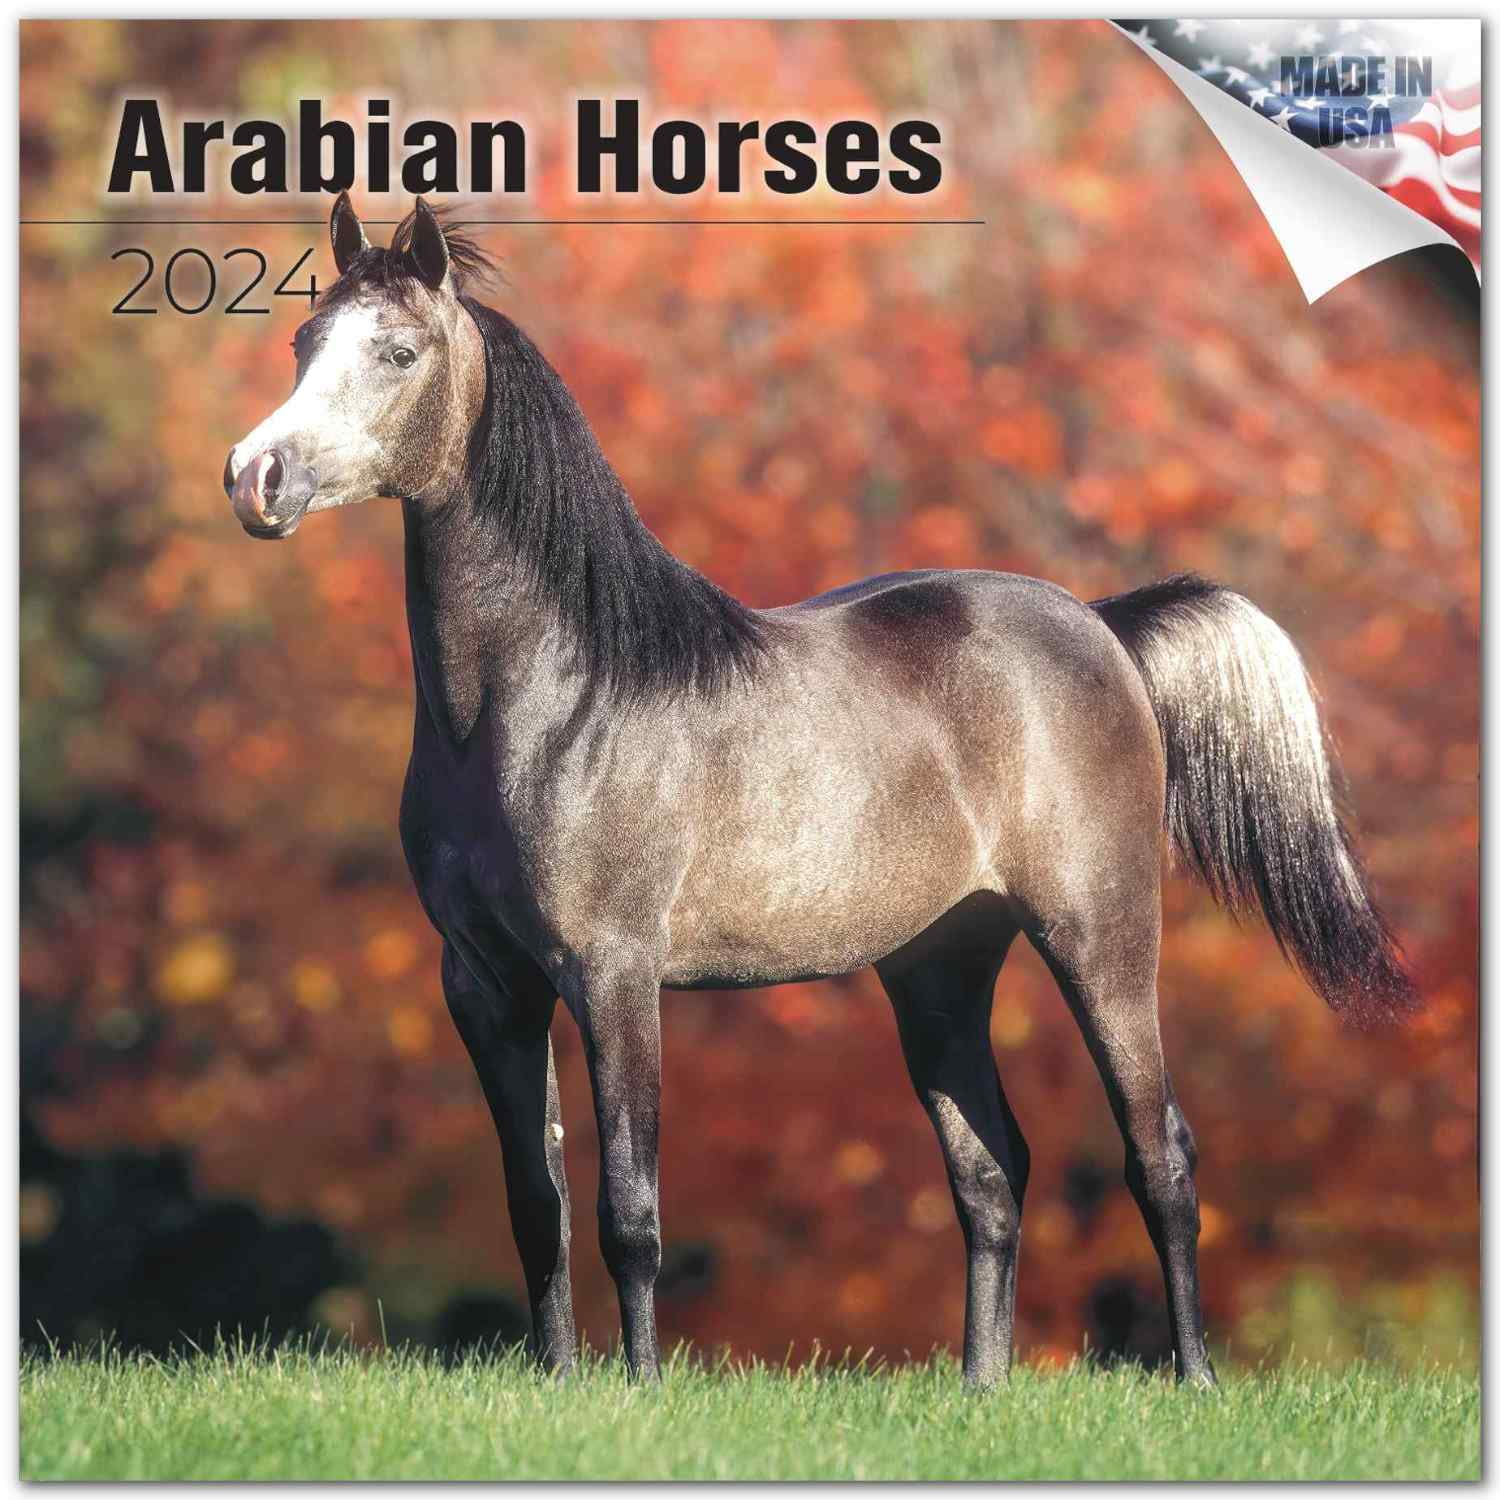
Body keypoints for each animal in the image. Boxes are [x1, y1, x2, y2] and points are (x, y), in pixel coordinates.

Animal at [224, 194, 1415, 1389]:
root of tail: (1103, 626)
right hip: (937, 969)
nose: (256, 477)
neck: (550, 698)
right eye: (301, 342)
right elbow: (536, 1203)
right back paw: (982, 1385)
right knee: (992, 1173)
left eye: (396, 351)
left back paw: (1196, 1378)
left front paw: (638, 1390)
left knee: (1159, 1153)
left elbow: (629, 1211)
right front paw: (559, 1383)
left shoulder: (614, 973)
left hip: (1101, 936)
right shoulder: (486, 985)